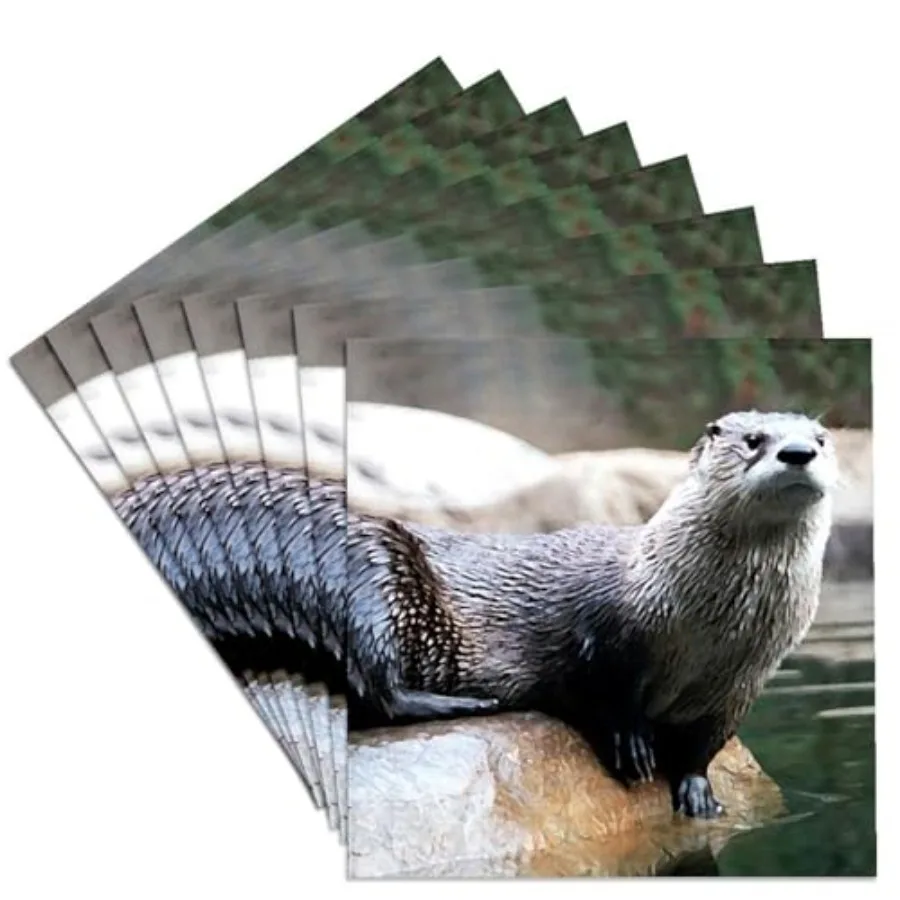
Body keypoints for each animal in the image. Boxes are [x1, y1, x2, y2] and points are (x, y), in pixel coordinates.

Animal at [113, 410, 837, 819]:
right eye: (753, 439)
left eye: (821, 438)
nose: (798, 452)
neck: (707, 631)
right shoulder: (605, 631)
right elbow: (600, 691)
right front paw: (632, 744)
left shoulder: (742, 682)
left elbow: (705, 744)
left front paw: (695, 791)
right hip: (370, 573)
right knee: (378, 689)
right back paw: (468, 703)